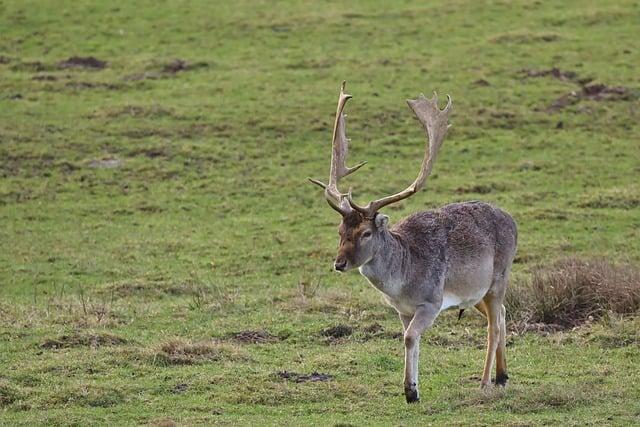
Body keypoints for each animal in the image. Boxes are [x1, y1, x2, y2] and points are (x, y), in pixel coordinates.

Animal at [308, 81, 516, 404]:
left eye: (365, 233)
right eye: (340, 230)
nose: (339, 263)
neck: (402, 282)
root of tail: (513, 222)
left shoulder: (431, 301)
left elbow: (410, 337)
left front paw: (410, 391)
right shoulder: (402, 310)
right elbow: (409, 339)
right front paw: (411, 389)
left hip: (498, 279)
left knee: (495, 325)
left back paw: (485, 383)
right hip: (477, 293)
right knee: (504, 315)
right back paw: (503, 376)